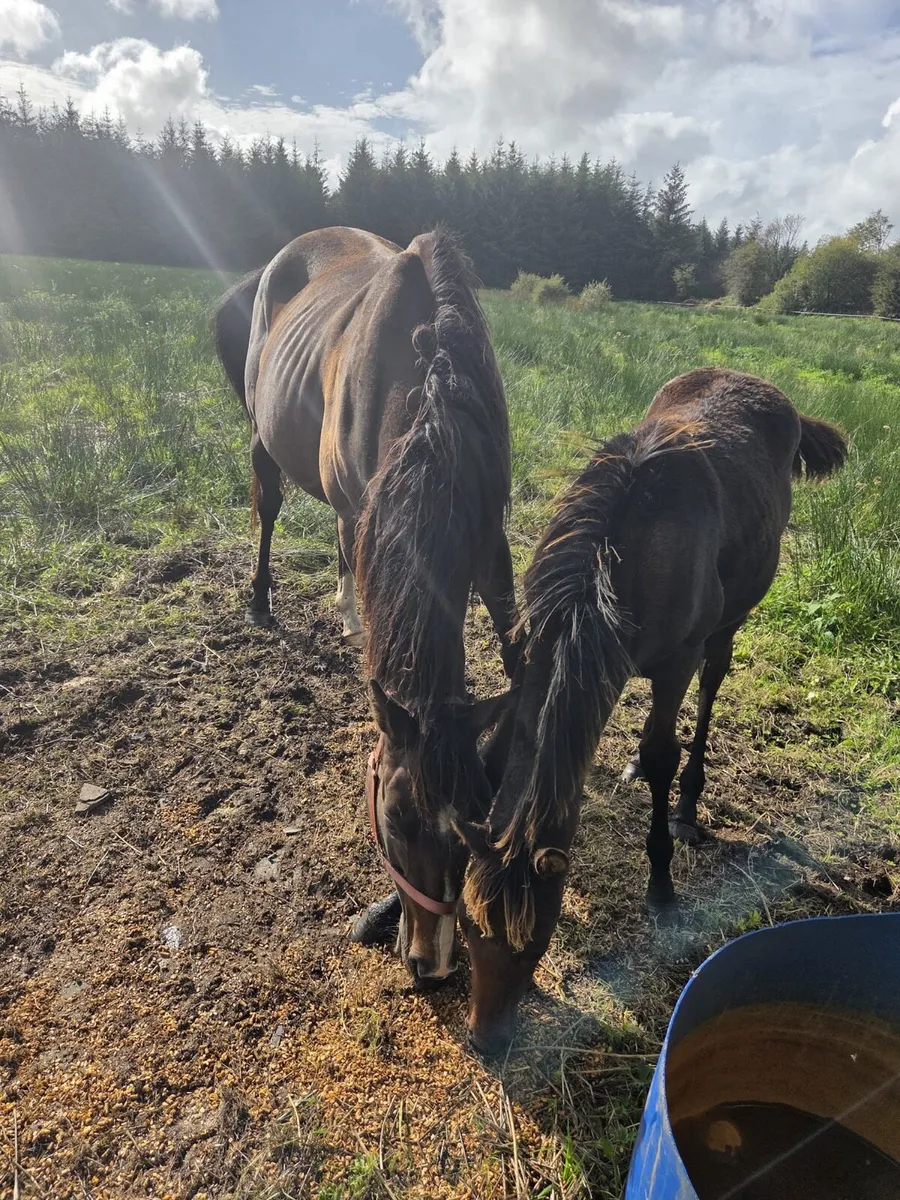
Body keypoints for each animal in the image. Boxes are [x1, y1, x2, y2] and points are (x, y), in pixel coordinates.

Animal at [213, 226, 519, 982]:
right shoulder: (370, 514)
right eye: (396, 818)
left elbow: (516, 648)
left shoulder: (489, 537)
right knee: (272, 507)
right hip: (267, 441)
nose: (432, 965)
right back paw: (262, 602)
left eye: (476, 819)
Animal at [451, 368, 848, 1054]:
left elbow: (665, 751)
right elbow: (502, 749)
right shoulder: (535, 657)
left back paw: (688, 803)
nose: (484, 1039)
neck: (619, 558)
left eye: (534, 944)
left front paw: (661, 886)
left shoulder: (676, 661)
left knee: (711, 685)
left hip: (728, 623)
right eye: (470, 928)